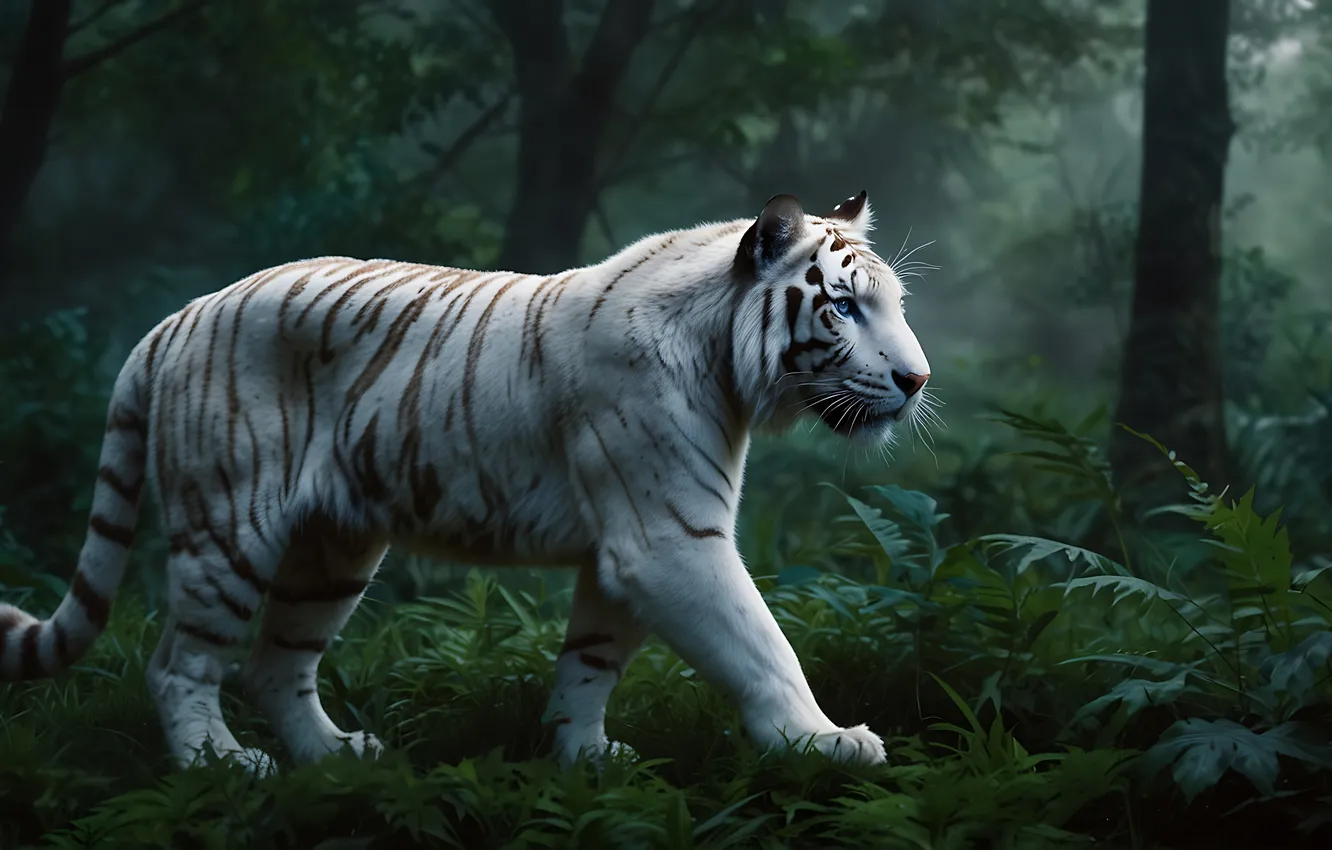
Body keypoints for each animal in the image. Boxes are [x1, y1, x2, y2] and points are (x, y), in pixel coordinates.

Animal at [0, 191, 931, 774]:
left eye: (893, 305)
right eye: (844, 307)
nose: (917, 380)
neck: (726, 361)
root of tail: (178, 317)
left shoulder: (627, 545)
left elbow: (592, 659)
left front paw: (583, 757)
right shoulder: (669, 536)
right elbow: (762, 645)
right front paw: (822, 741)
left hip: (335, 549)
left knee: (275, 666)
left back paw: (333, 759)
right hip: (228, 529)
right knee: (180, 665)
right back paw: (222, 766)